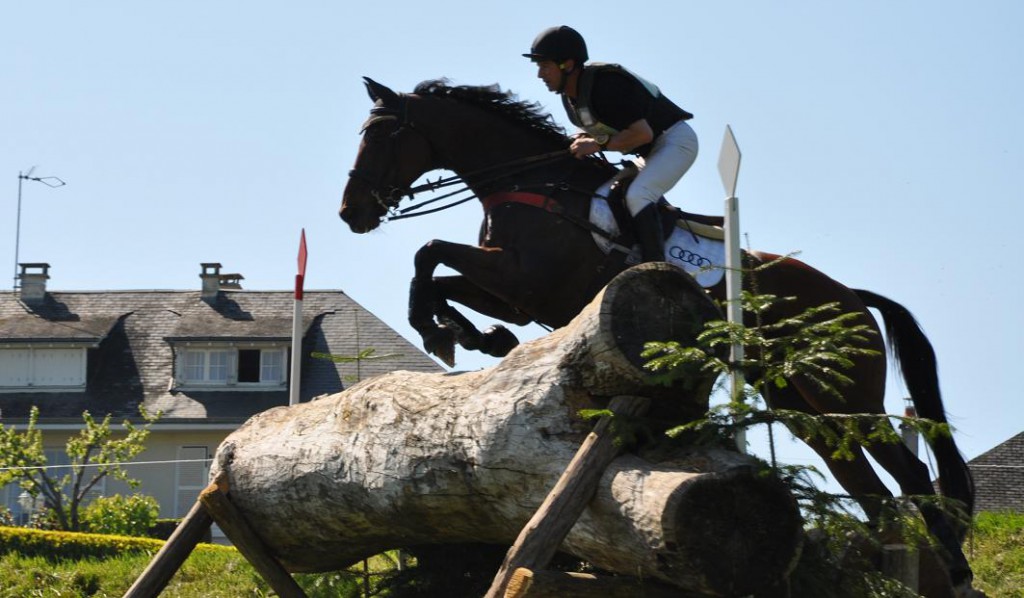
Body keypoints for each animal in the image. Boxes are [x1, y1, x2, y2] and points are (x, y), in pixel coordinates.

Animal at [342, 75, 974, 589]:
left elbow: (430, 251)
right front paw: (470, 336)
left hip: (843, 393)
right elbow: (439, 274)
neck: (532, 182)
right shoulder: (515, 293)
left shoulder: (524, 281)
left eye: (381, 136)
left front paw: (443, 332)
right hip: (801, 403)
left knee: (911, 473)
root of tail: (853, 297)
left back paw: (956, 570)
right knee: (871, 487)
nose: (352, 213)